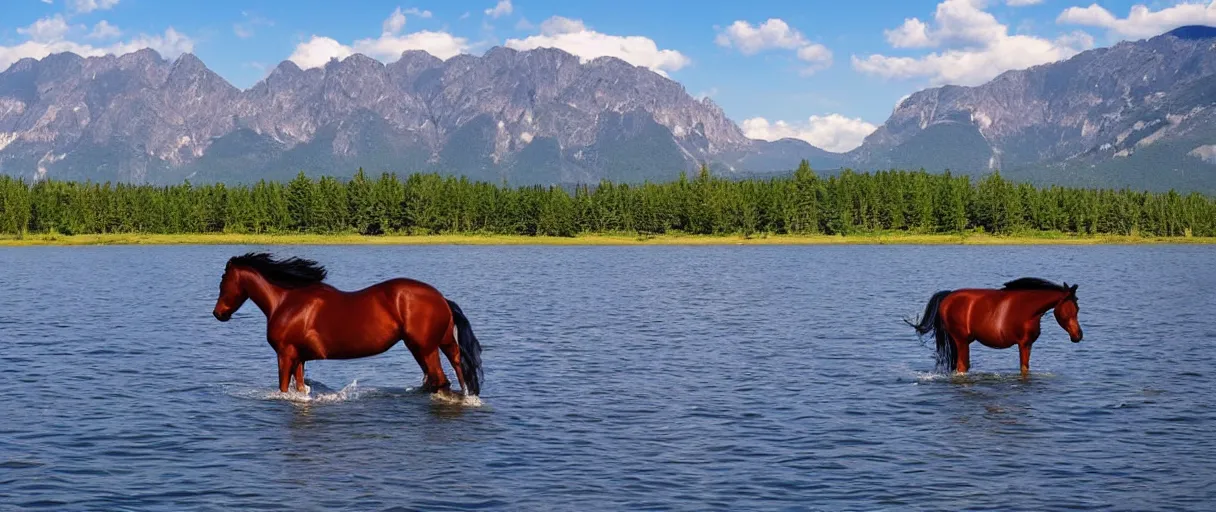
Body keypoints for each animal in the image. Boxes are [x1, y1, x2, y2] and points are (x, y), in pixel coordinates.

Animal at [211, 251, 481, 394]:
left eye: (223, 281)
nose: (218, 313)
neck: (286, 301)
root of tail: (441, 298)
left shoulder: (285, 354)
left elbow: (284, 388)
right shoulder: (299, 357)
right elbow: (300, 388)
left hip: (425, 348)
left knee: (441, 381)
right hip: (436, 345)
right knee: (457, 371)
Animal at [909, 277, 1089, 372]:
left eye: (1078, 308)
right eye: (1070, 309)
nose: (1078, 335)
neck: (1028, 309)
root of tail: (947, 297)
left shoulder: (1029, 344)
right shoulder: (1023, 344)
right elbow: (1024, 369)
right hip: (961, 341)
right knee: (962, 366)